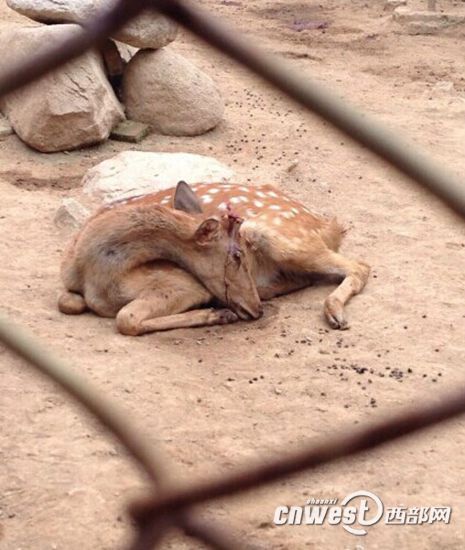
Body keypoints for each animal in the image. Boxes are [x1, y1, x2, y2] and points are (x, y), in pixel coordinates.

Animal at [59, 182, 370, 336]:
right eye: (236, 255)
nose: (256, 311)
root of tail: (329, 225)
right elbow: (69, 302)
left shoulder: (182, 284)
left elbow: (125, 318)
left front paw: (216, 314)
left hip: (275, 234)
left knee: (361, 265)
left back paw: (335, 315)